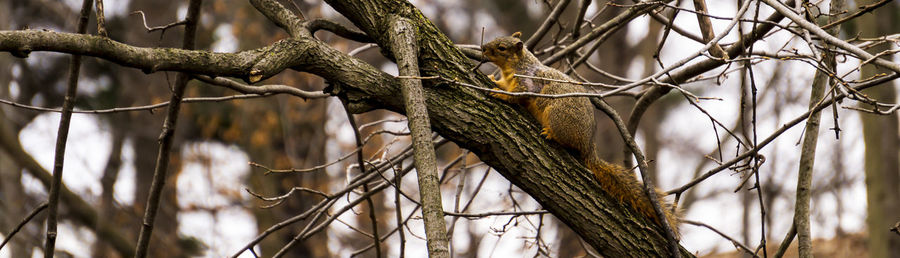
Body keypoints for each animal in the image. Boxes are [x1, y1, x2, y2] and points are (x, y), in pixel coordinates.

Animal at [482, 31, 680, 235]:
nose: (482, 49)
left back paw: (551, 134)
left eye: (501, 48)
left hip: (557, 116)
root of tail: (588, 146)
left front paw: (500, 94)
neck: (517, 65)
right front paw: (492, 79)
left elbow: (519, 95)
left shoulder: (527, 83)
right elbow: (504, 85)